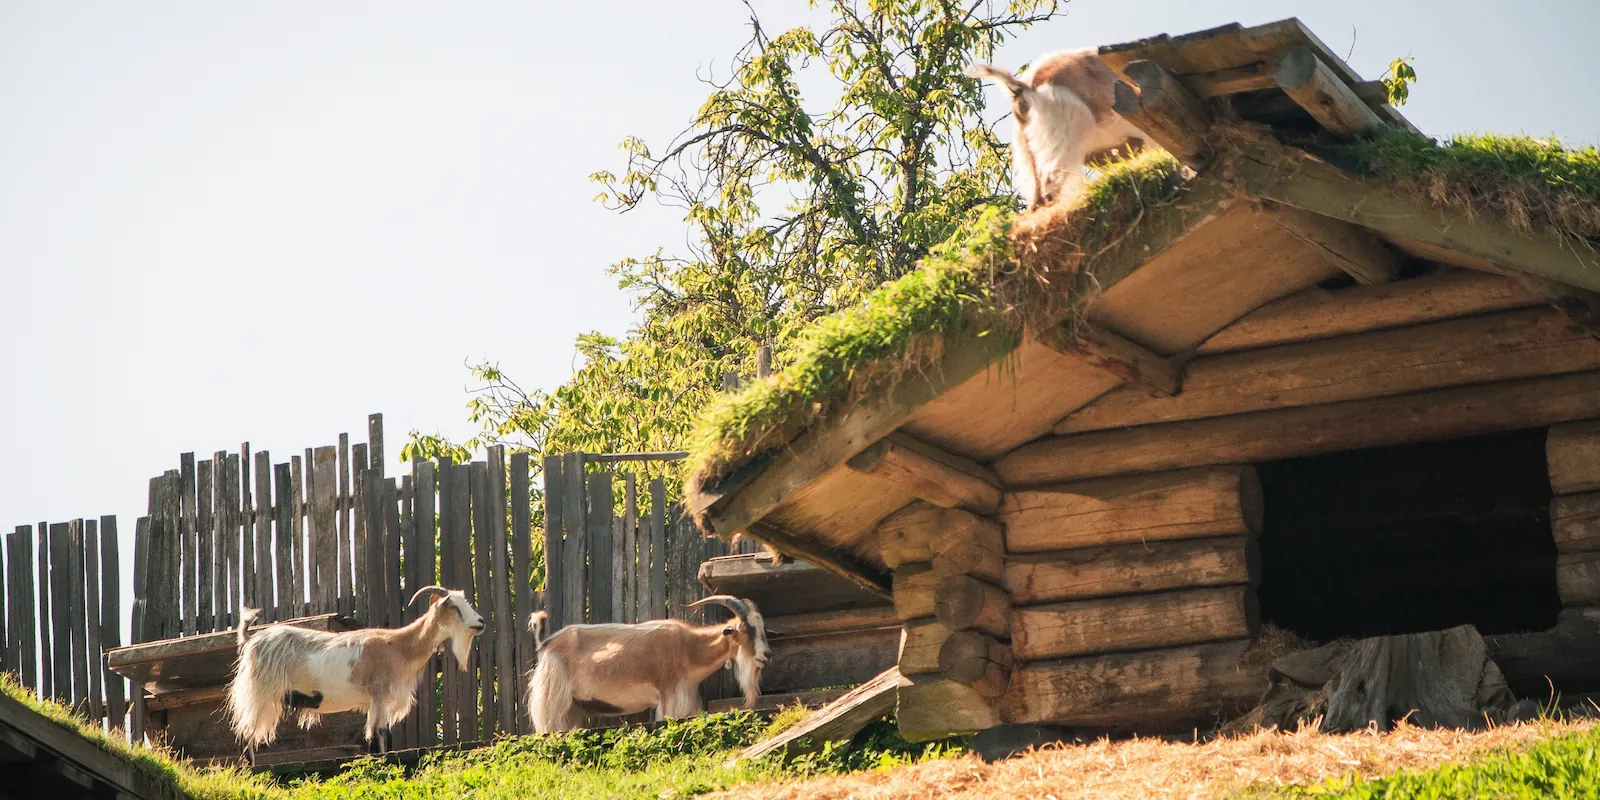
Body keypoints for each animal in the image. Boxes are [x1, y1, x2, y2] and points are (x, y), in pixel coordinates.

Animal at [227, 585, 480, 752]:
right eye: (453, 607)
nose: (481, 623)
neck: (400, 646)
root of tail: (251, 639)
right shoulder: (379, 693)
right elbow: (377, 731)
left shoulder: (379, 699)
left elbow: (377, 731)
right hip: (259, 690)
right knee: (247, 730)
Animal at [528, 598, 771, 732]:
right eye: (745, 629)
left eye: (762, 628)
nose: (766, 655)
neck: (689, 648)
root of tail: (546, 644)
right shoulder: (668, 696)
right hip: (553, 700)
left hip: (573, 707)